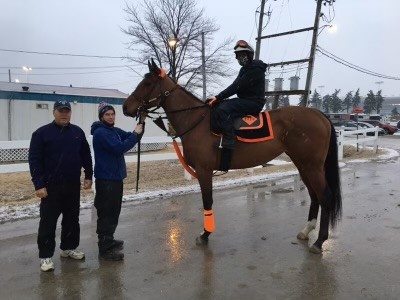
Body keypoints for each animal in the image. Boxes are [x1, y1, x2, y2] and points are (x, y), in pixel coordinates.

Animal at [122, 61, 340, 253]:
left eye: (147, 83)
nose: (125, 107)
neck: (197, 121)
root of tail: (319, 115)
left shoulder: (204, 171)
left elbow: (207, 201)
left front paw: (205, 235)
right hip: (303, 165)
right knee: (314, 195)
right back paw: (307, 230)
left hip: (312, 167)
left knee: (325, 197)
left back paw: (319, 241)